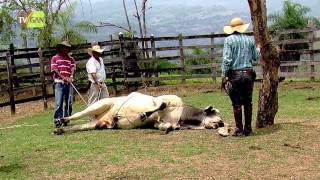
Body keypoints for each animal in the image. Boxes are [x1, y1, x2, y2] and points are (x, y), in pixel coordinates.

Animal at [55, 92, 230, 136]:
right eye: (218, 116)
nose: (221, 124)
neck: (181, 115)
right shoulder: (163, 99)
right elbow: (160, 105)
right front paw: (142, 115)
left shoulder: (159, 123)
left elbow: (165, 126)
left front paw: (168, 129)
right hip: (99, 105)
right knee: (77, 114)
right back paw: (61, 120)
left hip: (97, 124)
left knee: (79, 126)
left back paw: (60, 129)